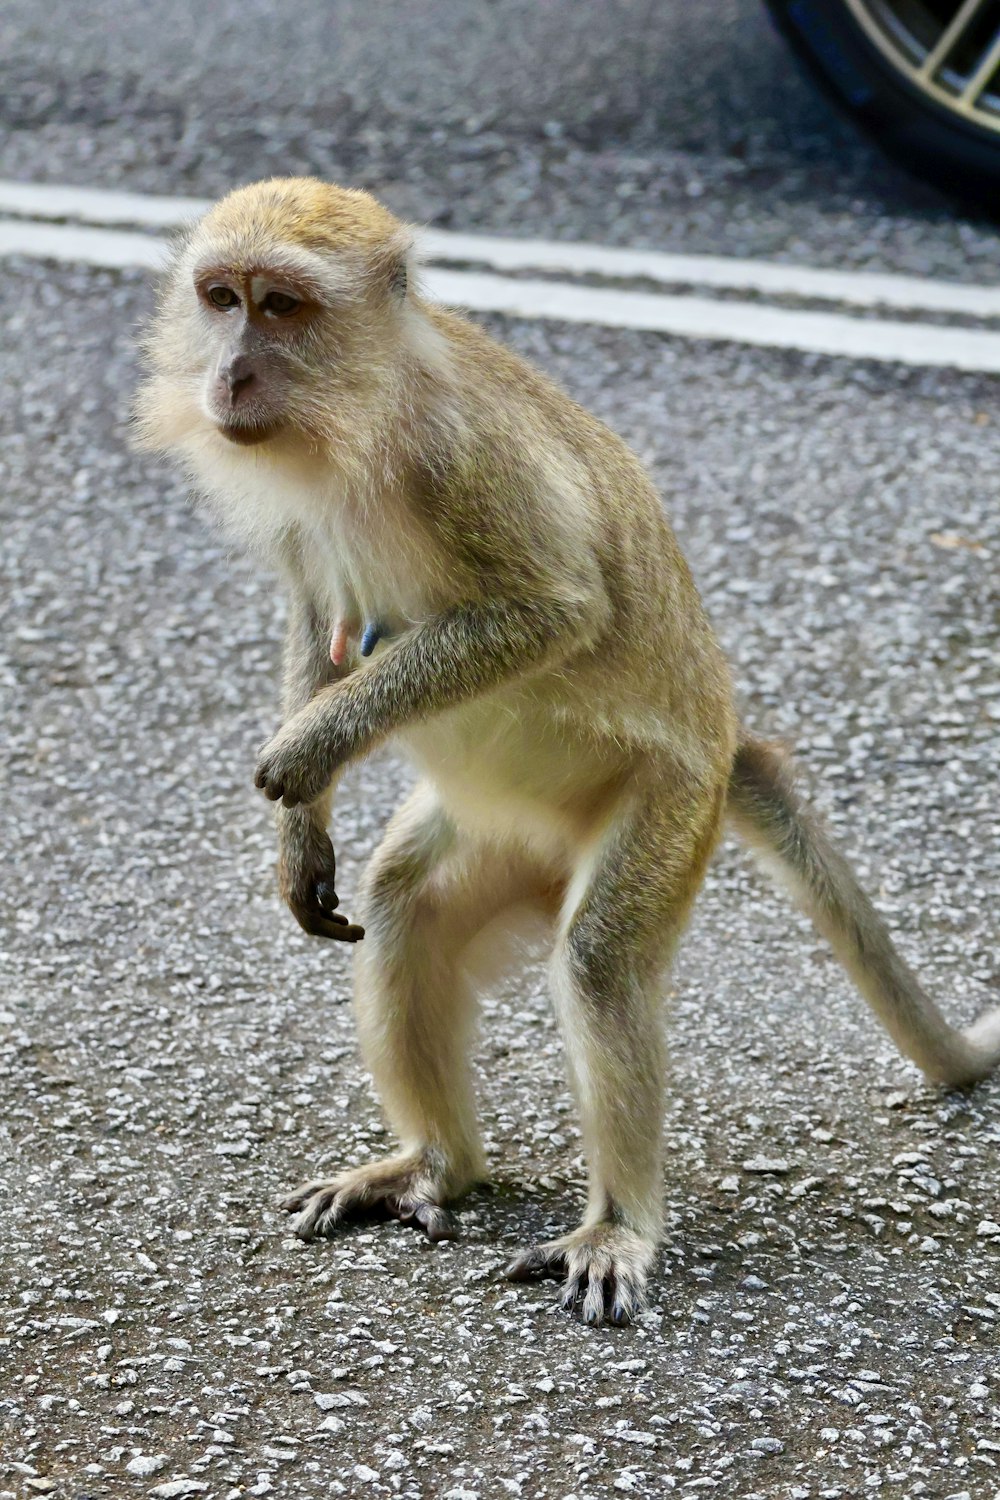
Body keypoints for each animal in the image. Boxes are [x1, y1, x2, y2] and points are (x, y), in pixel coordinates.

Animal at [137, 172, 1000, 1326]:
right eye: (221, 297)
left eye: (281, 307)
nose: (229, 373)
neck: (360, 416)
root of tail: (726, 742)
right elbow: (317, 615)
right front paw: (300, 834)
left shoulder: (464, 460)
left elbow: (554, 612)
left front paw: (318, 743)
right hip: (503, 834)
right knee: (407, 903)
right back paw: (436, 1163)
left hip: (670, 805)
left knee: (597, 961)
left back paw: (617, 1226)